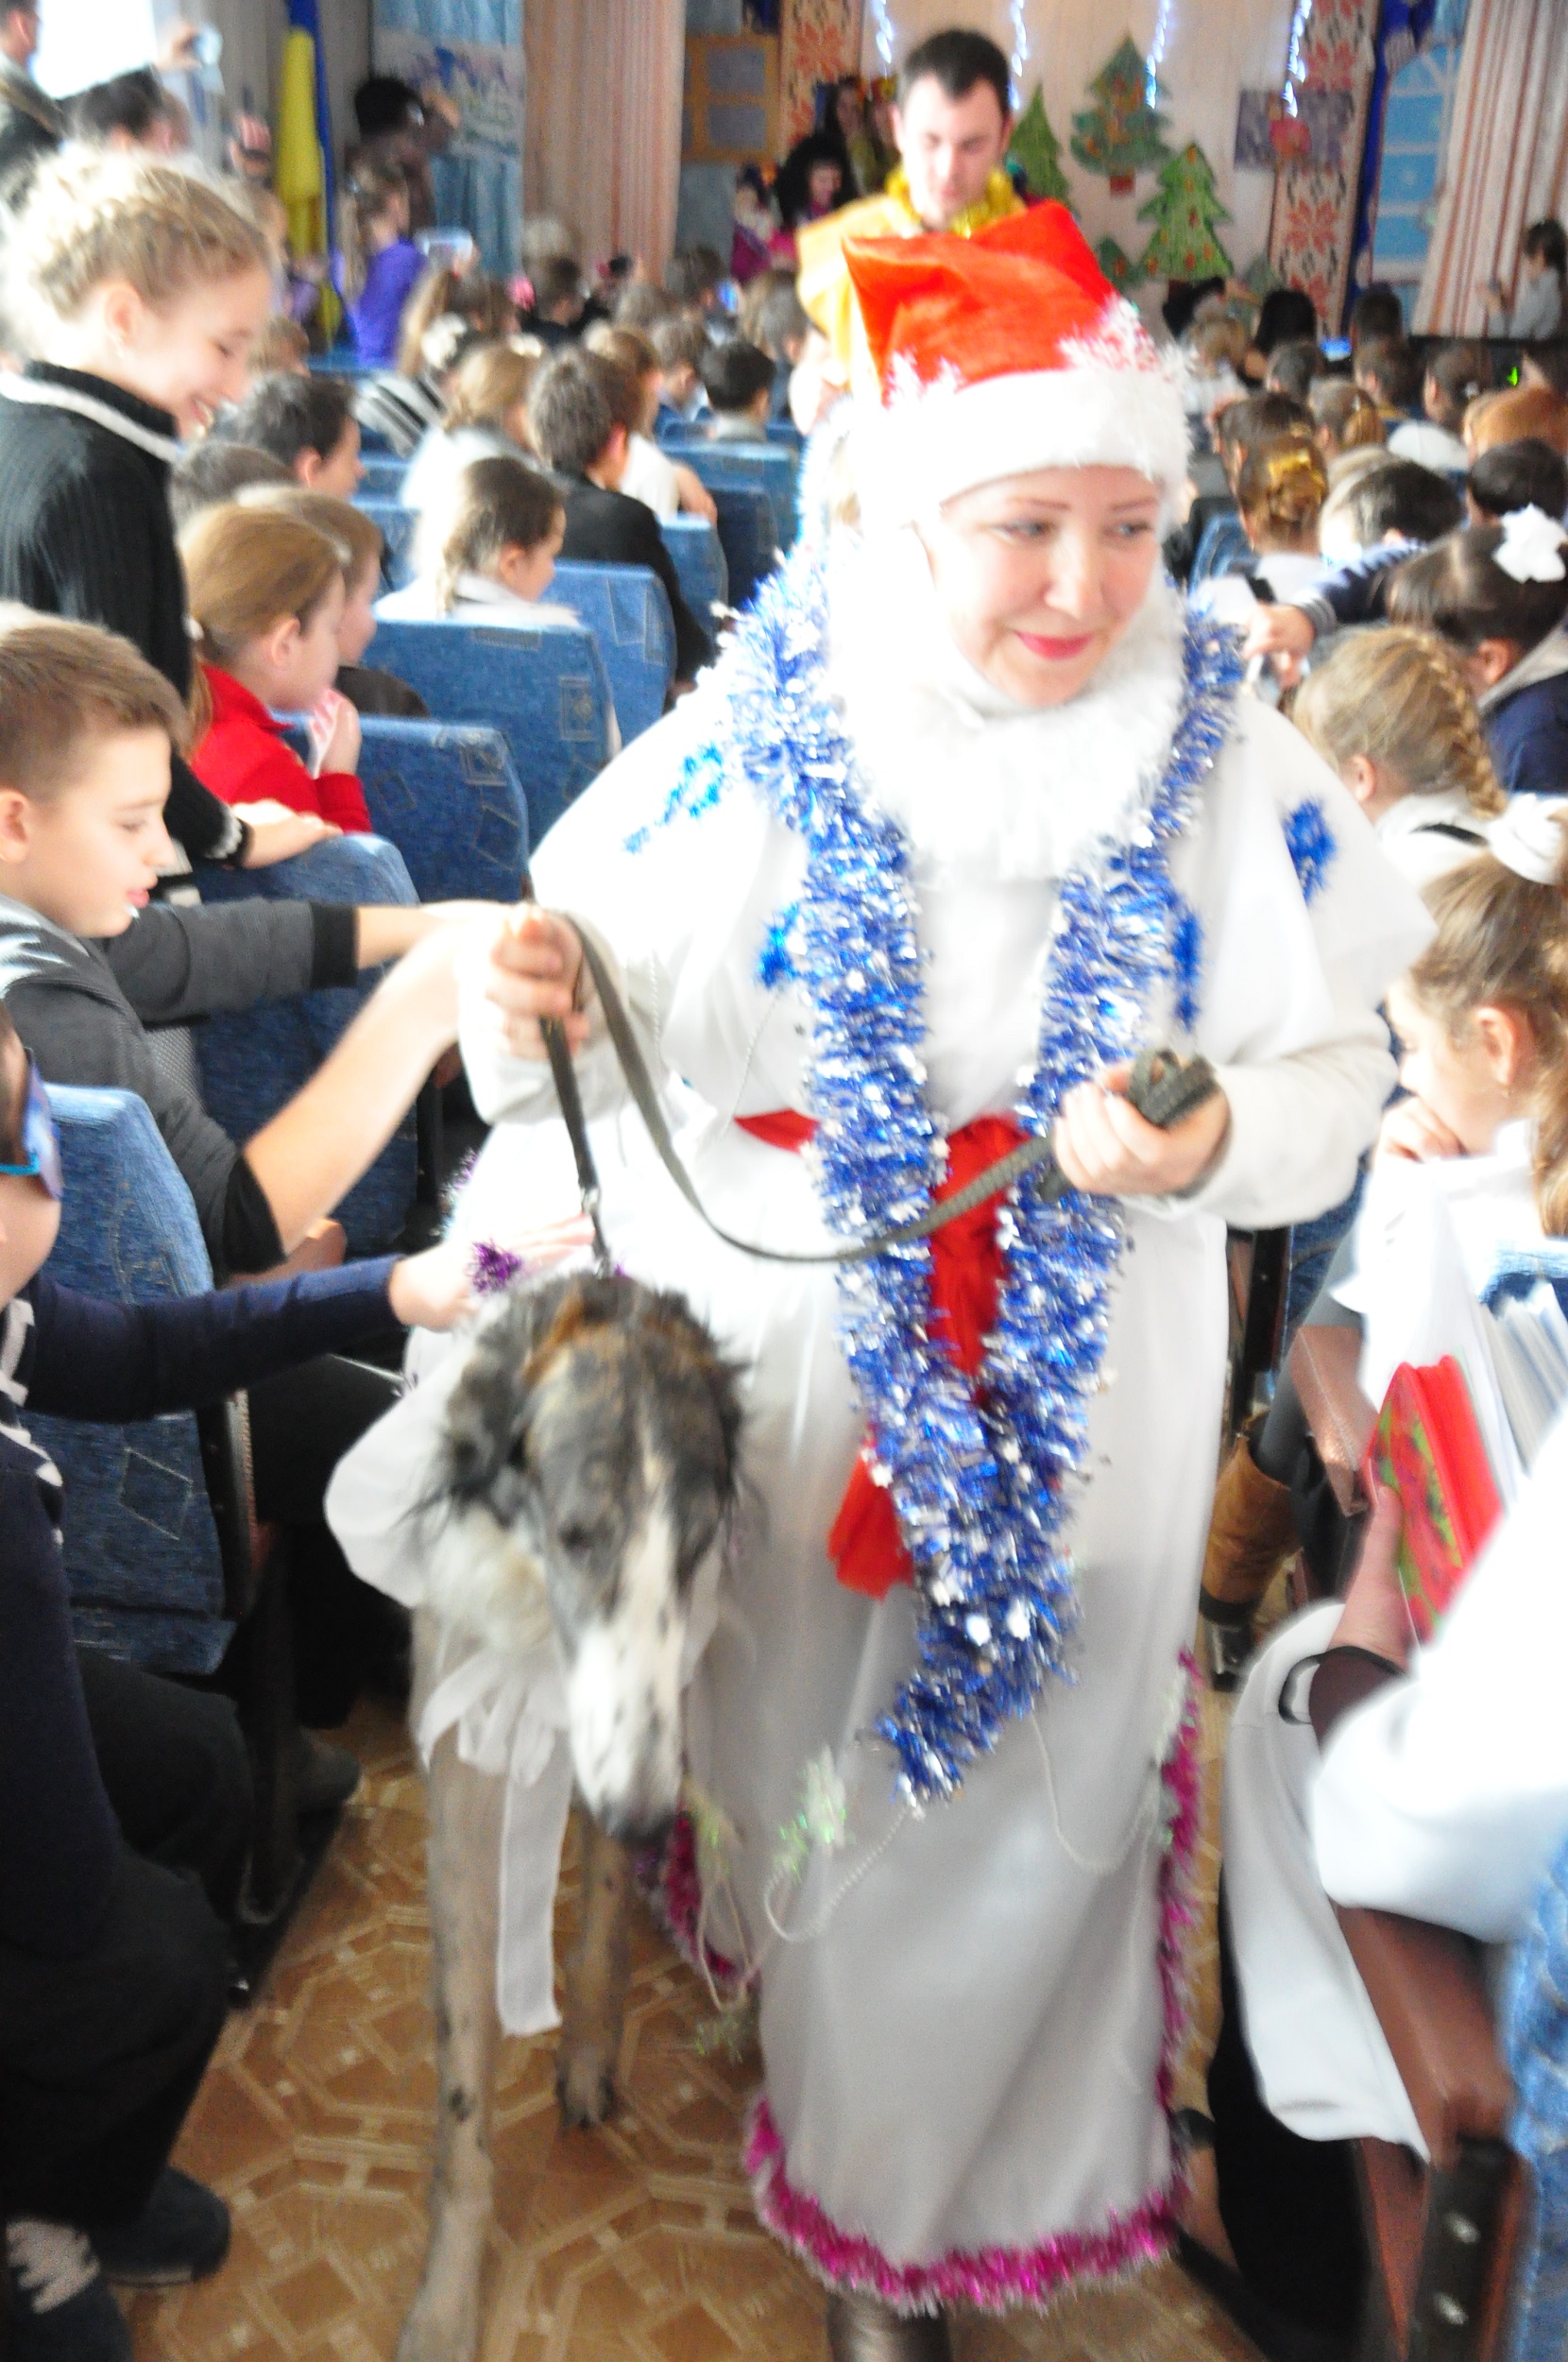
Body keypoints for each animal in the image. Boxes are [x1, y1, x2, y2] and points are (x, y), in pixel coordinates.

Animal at [398, 1270, 743, 2362]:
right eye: (580, 1535)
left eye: (695, 1544)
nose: (646, 1820)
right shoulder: (459, 1808)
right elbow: (462, 2086)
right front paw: (445, 2304)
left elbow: (598, 1933)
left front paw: (589, 2056)